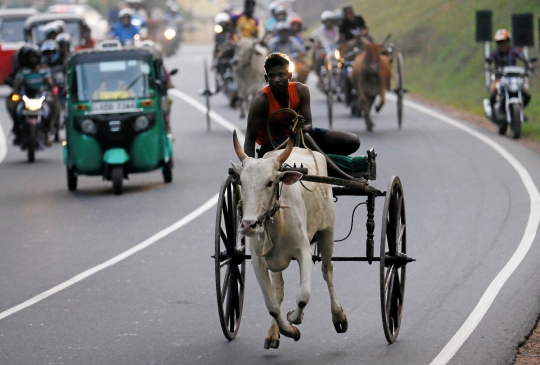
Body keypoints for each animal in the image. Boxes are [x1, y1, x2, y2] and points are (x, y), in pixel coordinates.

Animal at [230, 132, 348, 348]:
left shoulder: (303, 251)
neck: (278, 221)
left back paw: (338, 316)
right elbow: (272, 306)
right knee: (279, 290)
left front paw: (294, 317)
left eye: (270, 182)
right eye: (241, 182)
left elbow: (303, 296)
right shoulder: (259, 261)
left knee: (327, 270)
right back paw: (273, 334)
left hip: (327, 231)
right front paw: (289, 331)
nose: (248, 225)